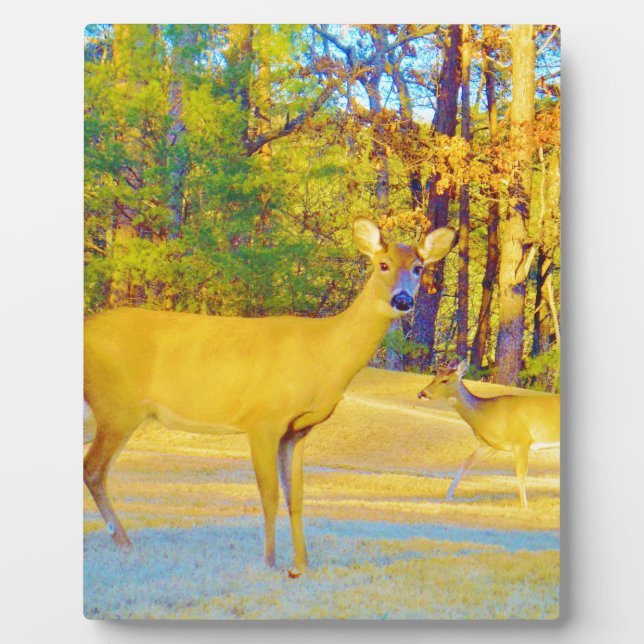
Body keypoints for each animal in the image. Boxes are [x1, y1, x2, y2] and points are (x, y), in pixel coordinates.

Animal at [84, 218, 456, 577]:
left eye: (418, 267)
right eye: (382, 264)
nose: (403, 300)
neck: (323, 355)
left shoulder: (298, 430)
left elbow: (297, 496)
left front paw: (302, 564)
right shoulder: (263, 420)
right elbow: (270, 494)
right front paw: (270, 561)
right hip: (117, 406)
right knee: (93, 470)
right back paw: (124, 541)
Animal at [417, 359, 560, 508]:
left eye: (444, 380)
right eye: (434, 377)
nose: (421, 394)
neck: (487, 416)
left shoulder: (521, 440)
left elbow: (521, 474)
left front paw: (524, 506)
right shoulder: (490, 445)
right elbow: (466, 464)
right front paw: (447, 497)